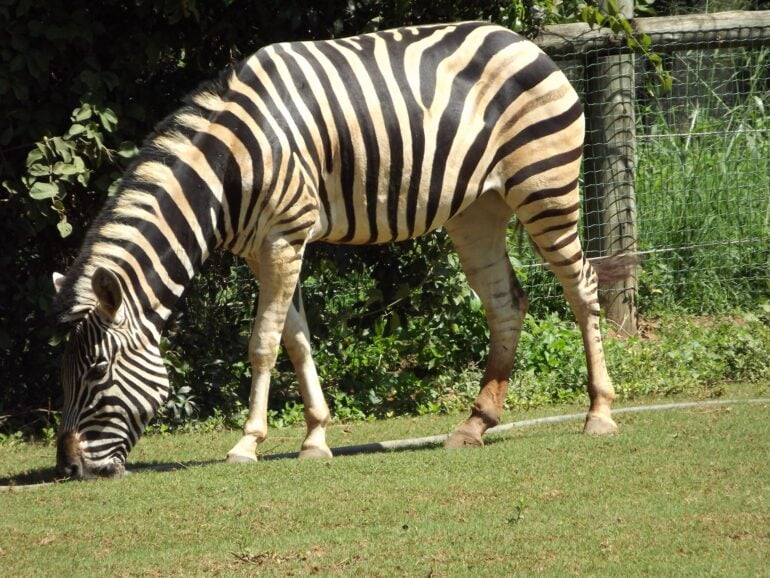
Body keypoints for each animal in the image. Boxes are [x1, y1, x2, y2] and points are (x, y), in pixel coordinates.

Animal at [53, 21, 626, 479]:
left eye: (97, 372)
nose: (69, 468)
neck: (226, 171)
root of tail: (522, 41)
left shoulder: (284, 235)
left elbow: (262, 344)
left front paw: (247, 443)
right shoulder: (266, 249)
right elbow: (296, 340)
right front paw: (314, 438)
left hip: (544, 186)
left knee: (582, 286)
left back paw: (599, 413)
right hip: (477, 211)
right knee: (506, 303)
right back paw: (475, 424)